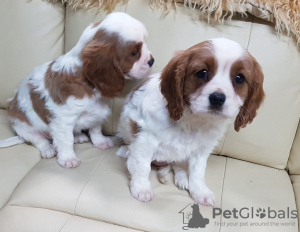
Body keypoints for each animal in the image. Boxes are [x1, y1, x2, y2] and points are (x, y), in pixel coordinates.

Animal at [0, 12, 154, 169]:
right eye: (134, 53)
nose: (152, 61)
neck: (88, 83)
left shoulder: (96, 113)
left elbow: (95, 129)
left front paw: (100, 142)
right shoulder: (63, 119)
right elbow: (66, 140)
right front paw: (68, 158)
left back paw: (79, 136)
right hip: (22, 126)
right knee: (38, 140)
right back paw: (48, 149)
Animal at [117, 38, 264, 207]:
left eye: (239, 78)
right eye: (202, 73)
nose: (217, 98)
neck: (194, 119)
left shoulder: (202, 149)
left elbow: (197, 172)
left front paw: (200, 192)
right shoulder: (145, 140)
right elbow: (142, 166)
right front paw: (141, 188)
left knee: (177, 164)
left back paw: (182, 178)